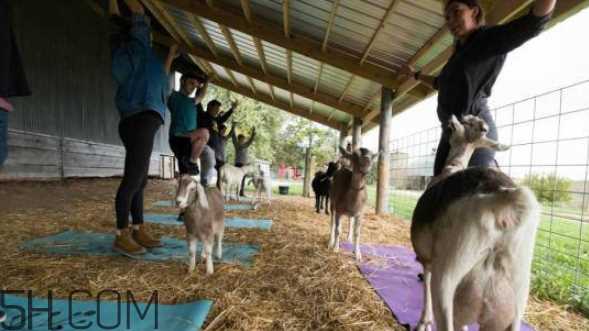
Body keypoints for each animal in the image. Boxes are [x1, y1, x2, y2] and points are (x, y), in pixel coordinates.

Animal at [408, 115, 536, 331]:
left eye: (465, 121)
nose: (452, 118)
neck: (453, 165)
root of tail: (504, 199)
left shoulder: (426, 259)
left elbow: (425, 284)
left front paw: (423, 322)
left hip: (448, 276)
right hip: (516, 297)